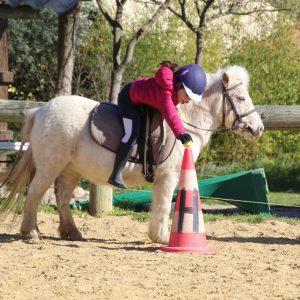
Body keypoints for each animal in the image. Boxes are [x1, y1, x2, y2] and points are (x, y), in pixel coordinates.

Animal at [0, 65, 262, 244]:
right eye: (241, 98)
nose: (258, 128)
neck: (186, 119)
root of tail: (40, 110)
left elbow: (159, 205)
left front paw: (157, 235)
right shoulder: (169, 175)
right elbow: (164, 205)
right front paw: (162, 238)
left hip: (70, 169)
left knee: (62, 197)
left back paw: (72, 232)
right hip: (50, 166)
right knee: (35, 193)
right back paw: (31, 232)